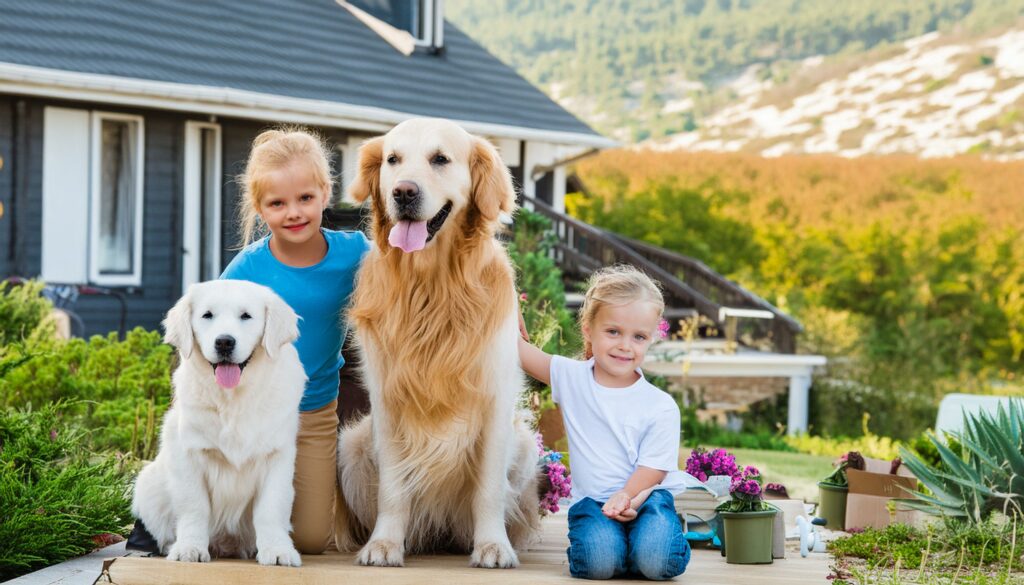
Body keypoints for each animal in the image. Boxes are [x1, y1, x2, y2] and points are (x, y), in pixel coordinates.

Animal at [130, 280, 303, 565]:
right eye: (207, 315)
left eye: (246, 316)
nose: (224, 342)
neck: (232, 399)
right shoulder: (189, 454)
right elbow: (195, 506)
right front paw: (189, 548)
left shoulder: (277, 455)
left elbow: (271, 507)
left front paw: (278, 550)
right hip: (147, 484)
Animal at [335, 116, 544, 569]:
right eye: (393, 160)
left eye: (440, 159)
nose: (403, 192)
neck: (432, 284)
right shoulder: (387, 399)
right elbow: (393, 488)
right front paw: (384, 544)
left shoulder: (496, 397)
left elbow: (488, 488)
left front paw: (492, 546)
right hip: (353, 443)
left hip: (524, 444)